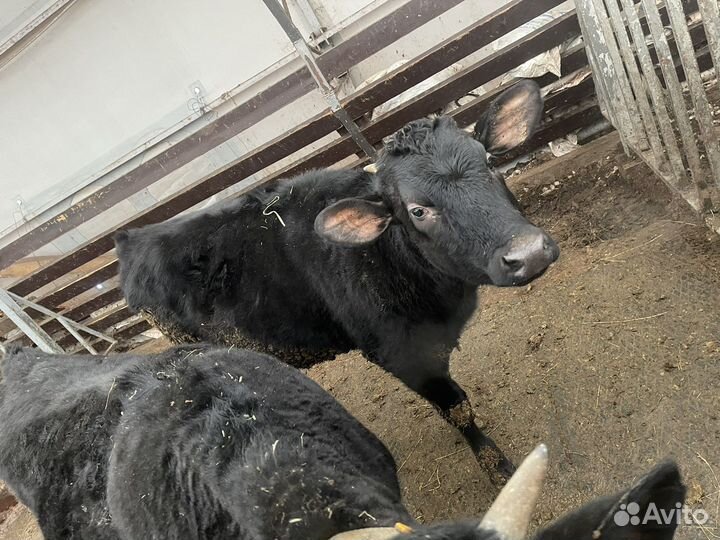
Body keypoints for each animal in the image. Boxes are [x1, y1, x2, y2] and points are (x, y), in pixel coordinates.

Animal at [115, 81, 560, 480]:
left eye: (489, 161)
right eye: (417, 210)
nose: (528, 252)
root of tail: (132, 238)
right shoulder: (400, 354)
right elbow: (459, 410)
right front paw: (496, 467)